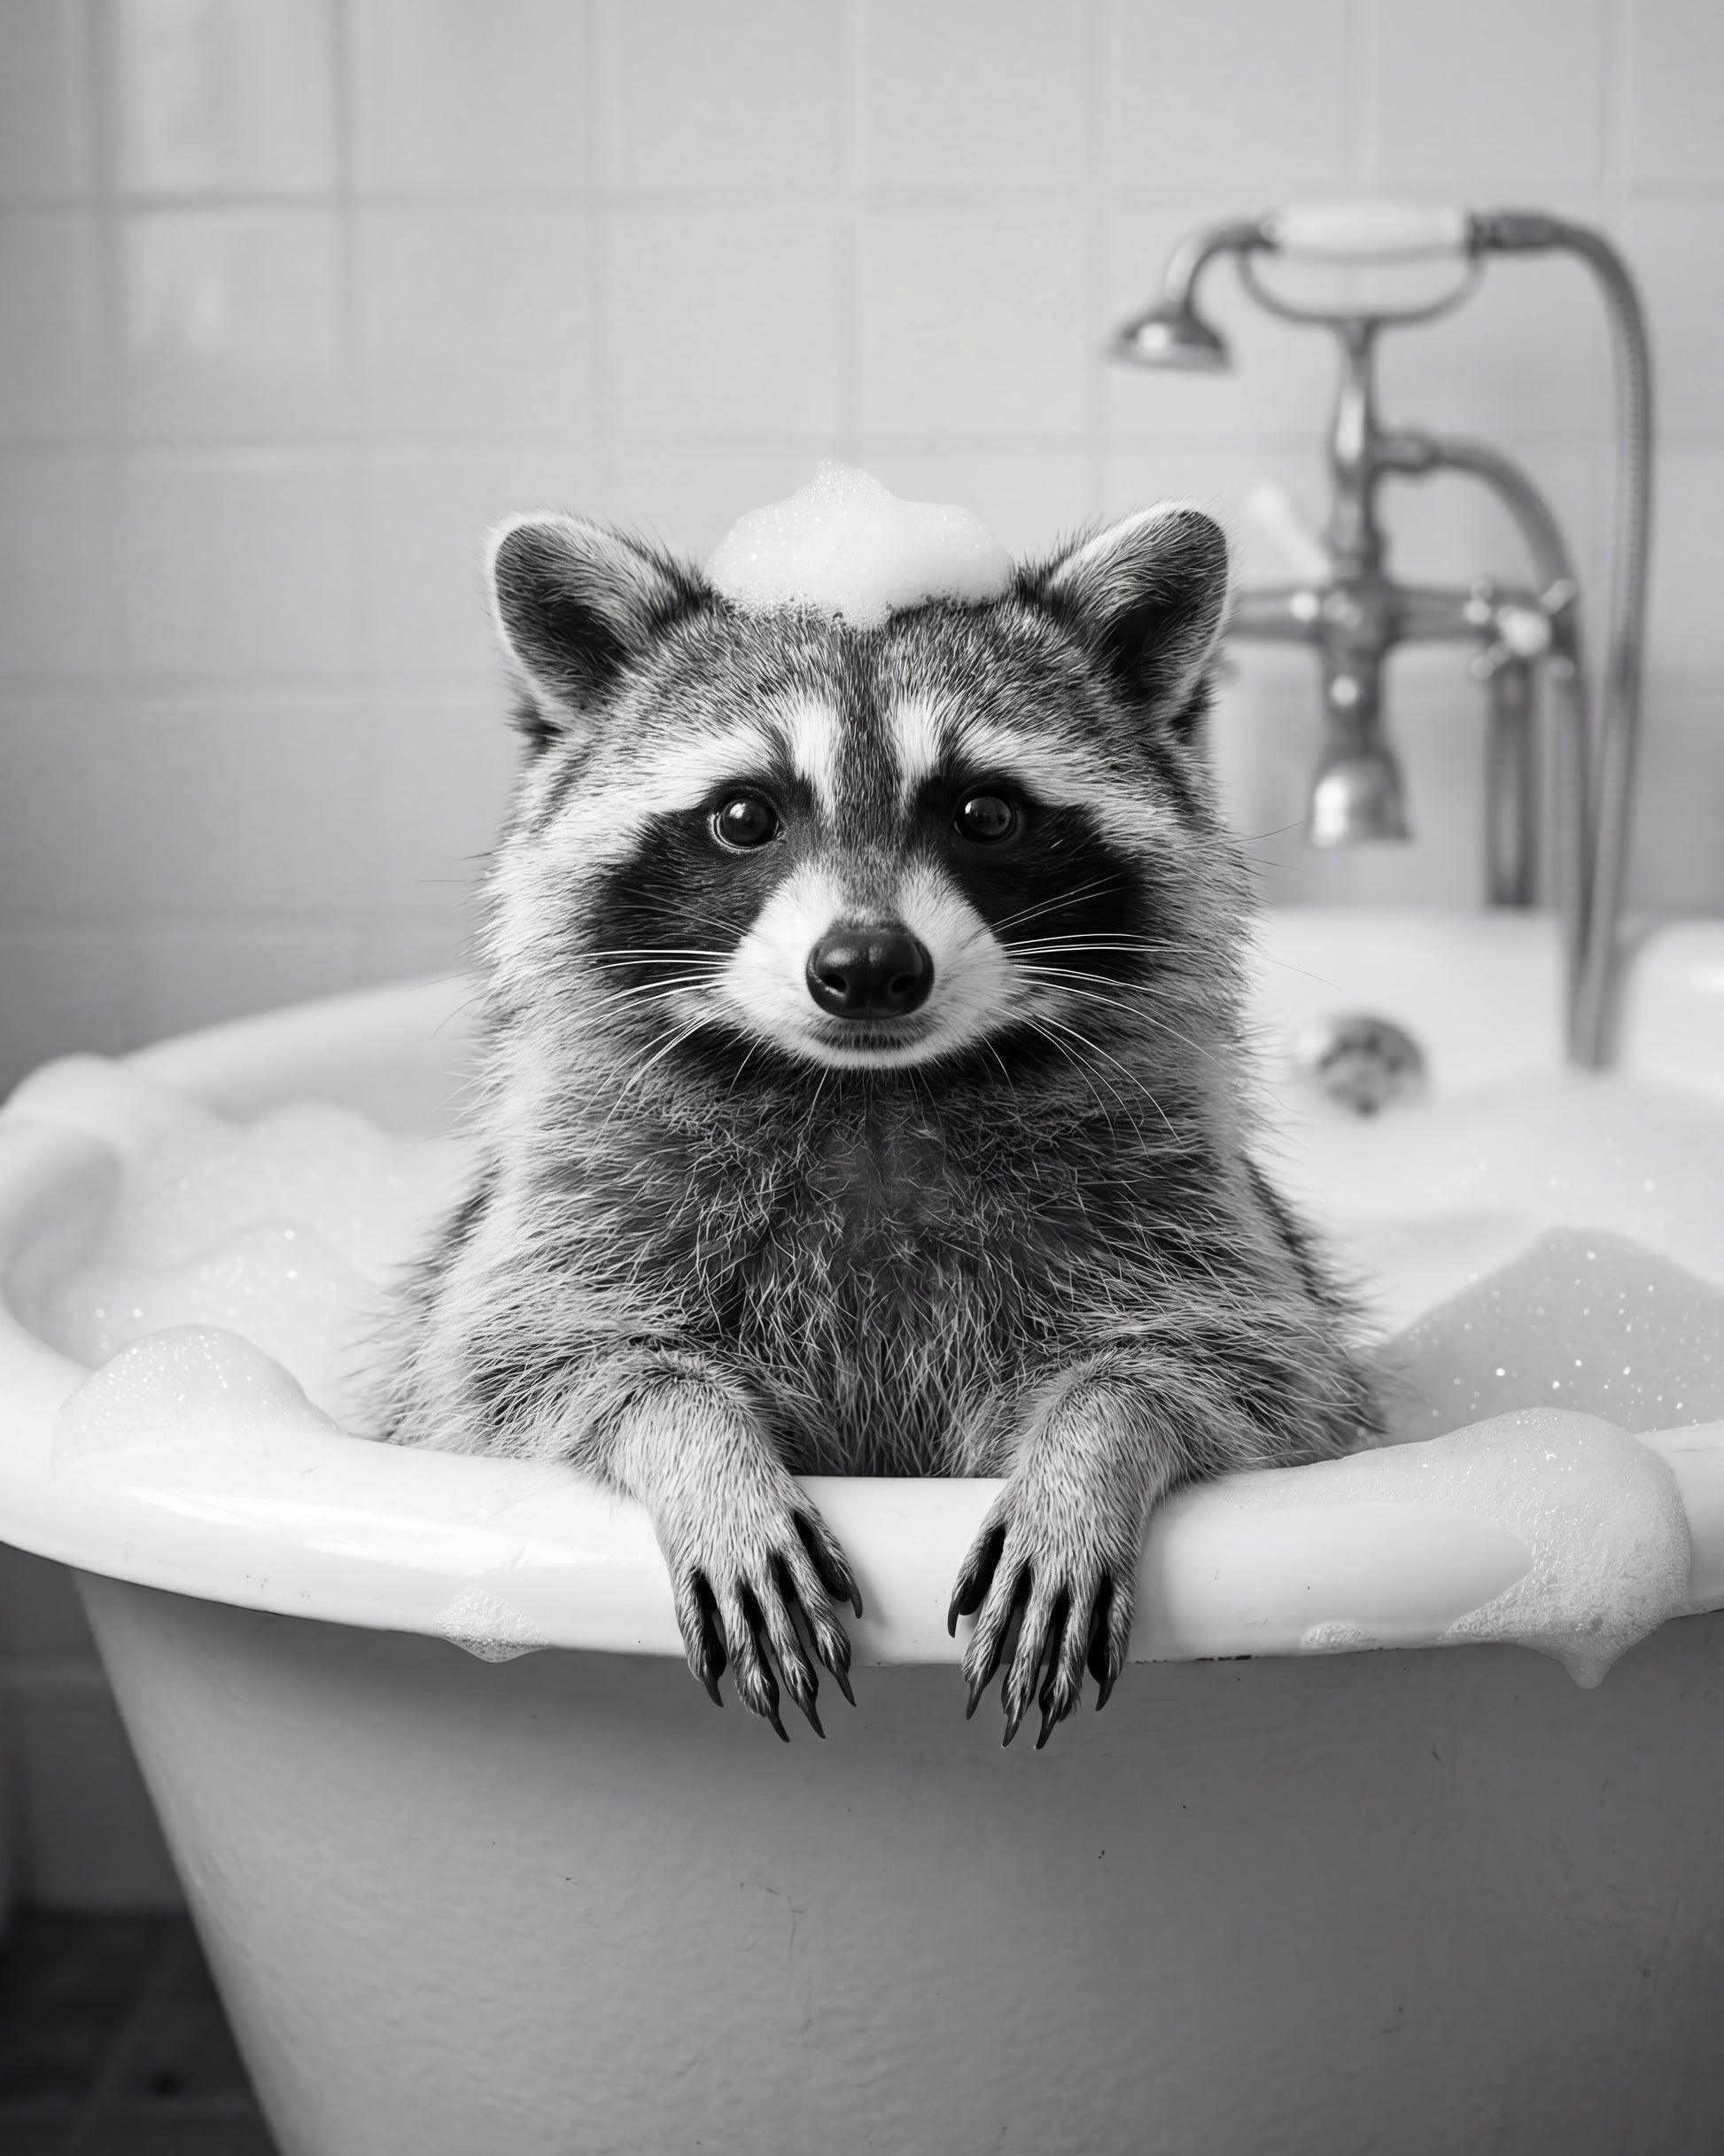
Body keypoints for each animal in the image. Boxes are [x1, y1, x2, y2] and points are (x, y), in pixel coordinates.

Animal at [379, 501, 1383, 1748]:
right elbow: (521, 1367)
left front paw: (1092, 1448)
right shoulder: (579, 1195)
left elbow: (1250, 1374)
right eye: (744, 815)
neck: (872, 1095)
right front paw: (700, 1448)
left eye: (985, 813)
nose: (865, 967)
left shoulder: (1176, 1195)